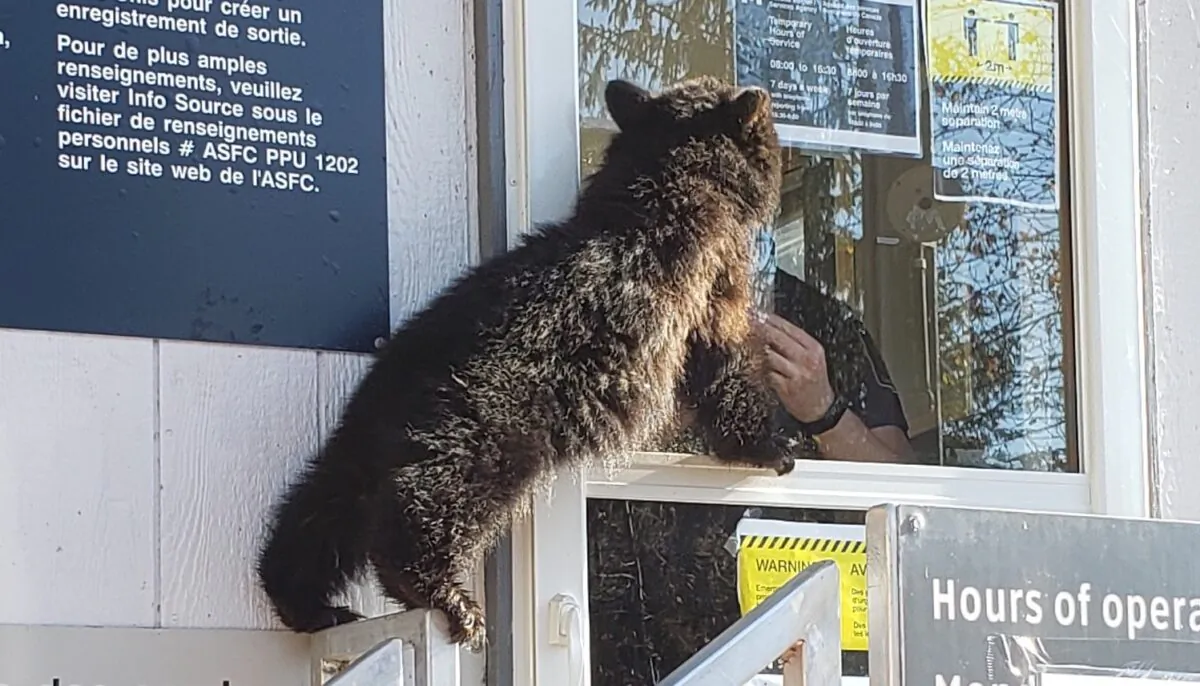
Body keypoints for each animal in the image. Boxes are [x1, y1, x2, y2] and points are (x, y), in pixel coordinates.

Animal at [255, 74, 793, 653]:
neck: (669, 183)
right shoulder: (710, 280)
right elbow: (723, 360)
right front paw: (771, 444)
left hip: (361, 434)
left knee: (322, 507)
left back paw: (308, 601)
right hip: (493, 420)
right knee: (432, 495)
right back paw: (446, 595)